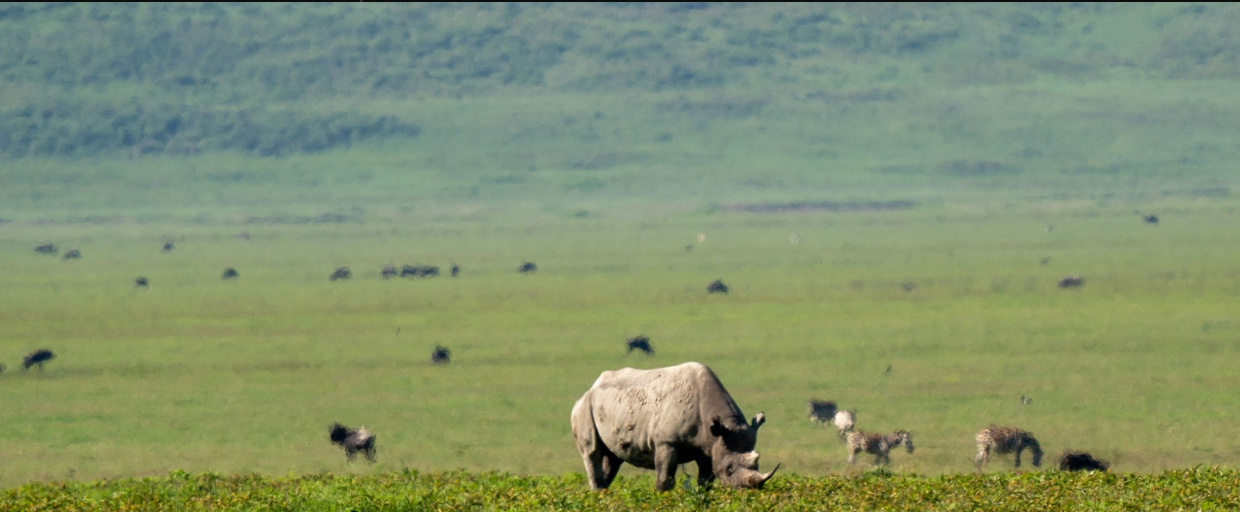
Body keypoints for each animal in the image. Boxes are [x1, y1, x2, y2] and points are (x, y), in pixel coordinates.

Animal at [570, 362, 779, 491]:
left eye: (757, 464)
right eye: (728, 469)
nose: (748, 491)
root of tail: (591, 387)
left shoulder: (709, 446)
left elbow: (705, 481)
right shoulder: (667, 442)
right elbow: (665, 479)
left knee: (613, 459)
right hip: (584, 406)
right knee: (592, 451)